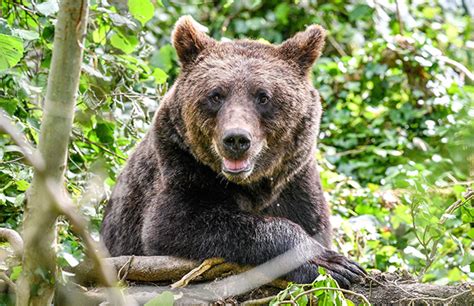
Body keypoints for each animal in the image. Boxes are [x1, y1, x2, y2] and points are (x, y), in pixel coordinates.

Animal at [102, 15, 364, 288]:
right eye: (216, 95)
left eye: (263, 97)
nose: (236, 139)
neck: (253, 185)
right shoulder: (181, 166)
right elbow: (176, 224)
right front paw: (330, 263)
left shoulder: (295, 181)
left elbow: (312, 222)